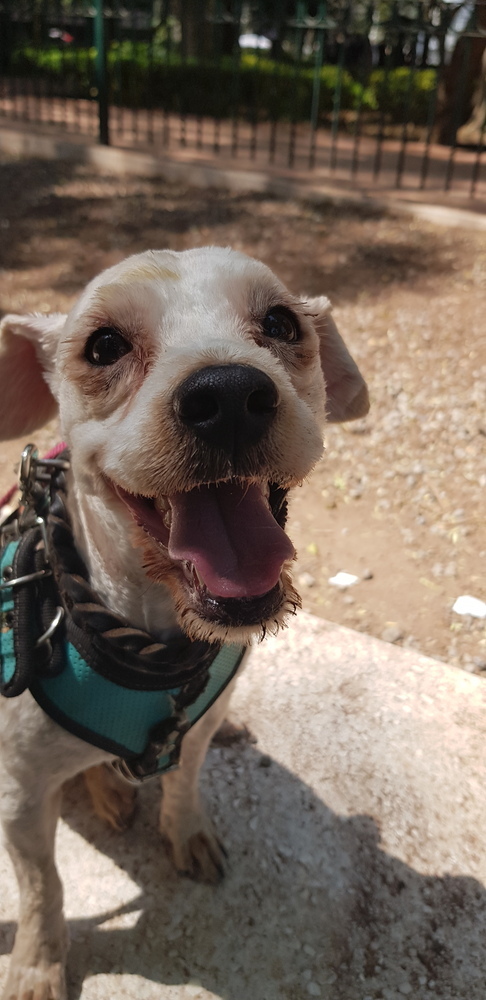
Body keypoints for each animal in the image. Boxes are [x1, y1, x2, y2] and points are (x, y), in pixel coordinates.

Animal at [0, 244, 366, 1000]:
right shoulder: (19, 801)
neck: (155, 646)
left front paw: (186, 827)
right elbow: (43, 887)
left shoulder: (194, 726)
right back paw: (109, 788)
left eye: (281, 322)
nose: (227, 395)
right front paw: (37, 964)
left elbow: (187, 780)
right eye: (103, 346)